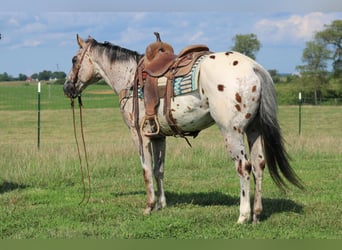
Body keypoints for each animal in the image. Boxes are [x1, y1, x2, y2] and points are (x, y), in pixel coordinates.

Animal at [62, 34, 304, 223]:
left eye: (74, 59)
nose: (67, 88)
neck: (130, 78)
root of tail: (254, 68)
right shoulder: (158, 136)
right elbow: (159, 170)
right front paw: (162, 204)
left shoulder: (139, 135)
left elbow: (146, 170)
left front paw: (149, 206)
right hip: (254, 130)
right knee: (259, 165)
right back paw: (256, 214)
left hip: (232, 132)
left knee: (244, 167)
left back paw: (243, 216)